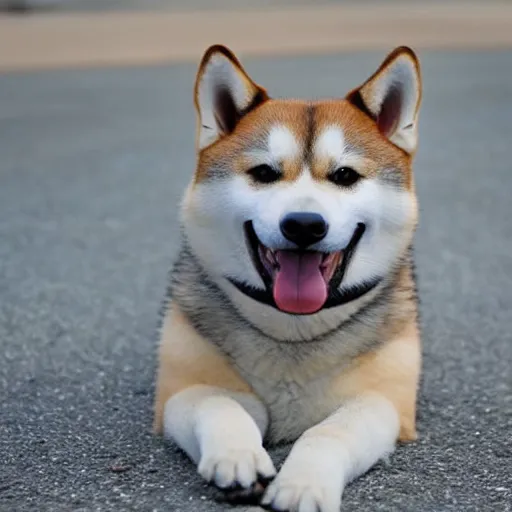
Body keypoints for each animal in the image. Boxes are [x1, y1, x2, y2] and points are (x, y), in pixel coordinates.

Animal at [153, 45, 424, 512]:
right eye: (264, 173)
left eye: (345, 175)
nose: (303, 225)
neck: (293, 329)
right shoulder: (177, 393)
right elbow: (217, 404)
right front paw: (236, 455)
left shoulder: (385, 404)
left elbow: (329, 432)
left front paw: (303, 484)